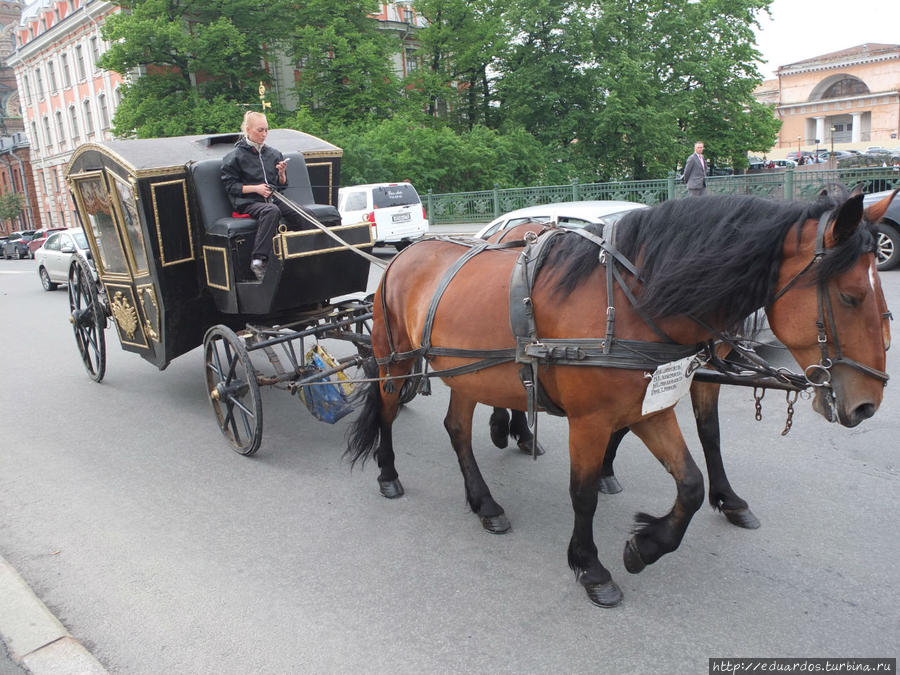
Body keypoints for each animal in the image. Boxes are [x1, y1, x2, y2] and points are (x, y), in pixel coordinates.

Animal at [344, 190, 892, 608]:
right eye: (850, 297)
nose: (867, 403)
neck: (631, 304)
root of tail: (404, 256)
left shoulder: (654, 404)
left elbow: (691, 481)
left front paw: (648, 544)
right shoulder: (589, 420)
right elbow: (583, 493)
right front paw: (591, 567)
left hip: (467, 375)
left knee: (458, 430)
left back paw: (486, 499)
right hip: (393, 362)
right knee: (388, 412)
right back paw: (389, 473)